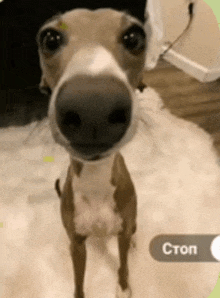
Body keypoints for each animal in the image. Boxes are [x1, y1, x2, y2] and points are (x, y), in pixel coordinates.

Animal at [37, 7, 148, 298]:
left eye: (134, 37)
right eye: (49, 39)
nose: (93, 108)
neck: (96, 179)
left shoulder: (121, 234)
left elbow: (123, 263)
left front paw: (123, 287)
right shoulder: (76, 244)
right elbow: (79, 280)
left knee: (132, 230)